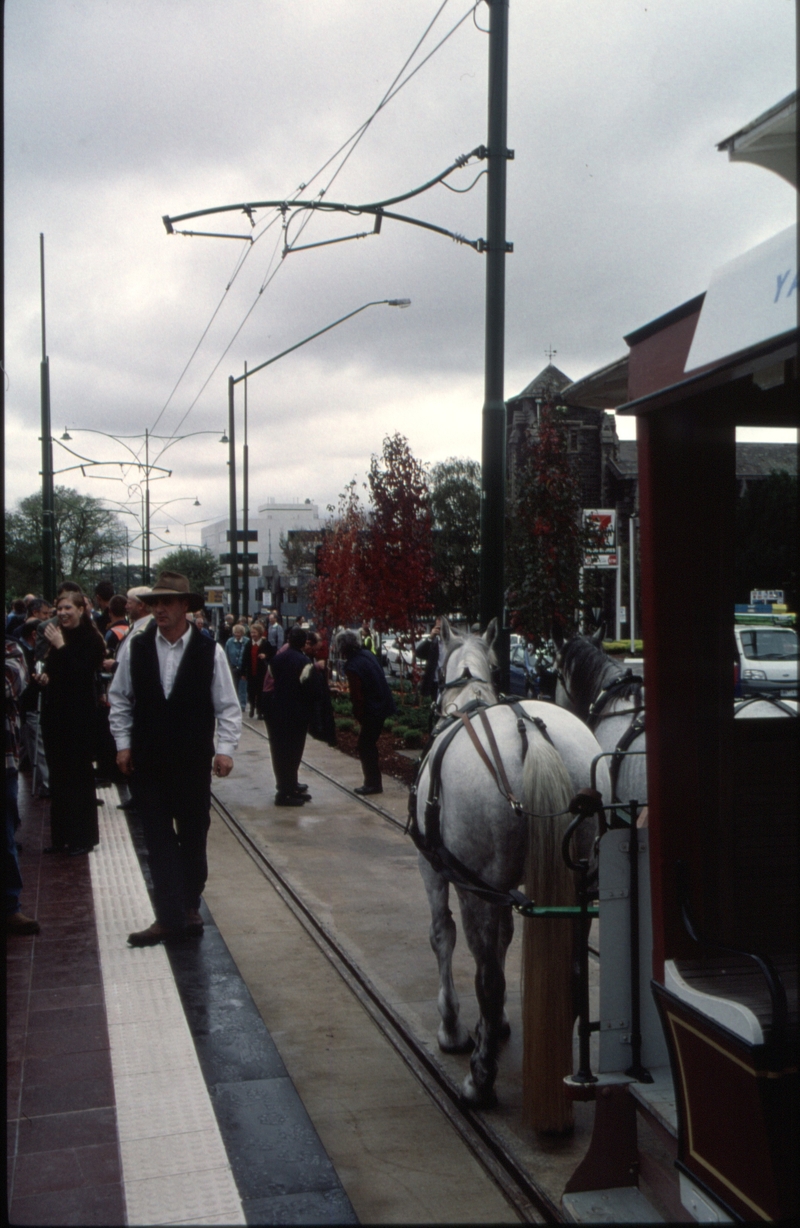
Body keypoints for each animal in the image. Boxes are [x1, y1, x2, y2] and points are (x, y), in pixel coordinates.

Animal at [415, 618, 609, 1119]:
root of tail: (533, 736)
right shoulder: (502, 890)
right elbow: (502, 939)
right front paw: (495, 1025)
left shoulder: (438, 869)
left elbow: (442, 936)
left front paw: (453, 1027)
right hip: (580, 884)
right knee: (572, 971)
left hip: (474, 885)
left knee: (488, 979)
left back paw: (479, 1081)